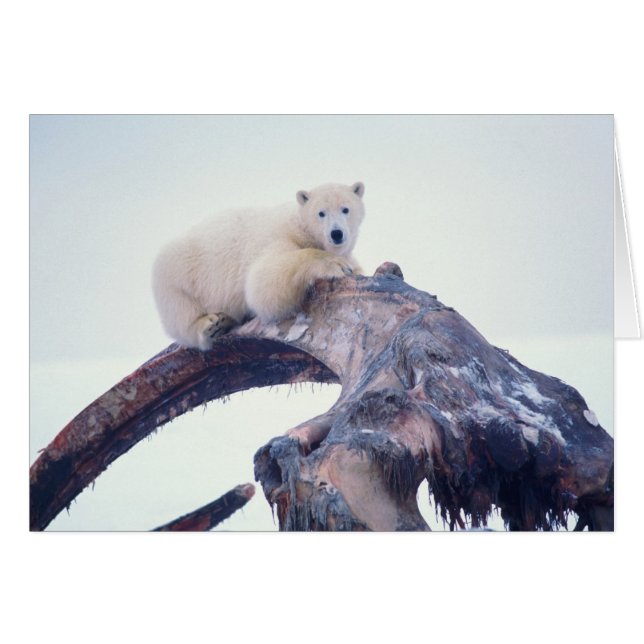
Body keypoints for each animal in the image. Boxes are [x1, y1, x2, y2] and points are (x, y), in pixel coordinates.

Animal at [152, 181, 366, 350]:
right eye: (321, 213)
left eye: (345, 209)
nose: (336, 233)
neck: (300, 227)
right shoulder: (275, 238)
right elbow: (262, 283)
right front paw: (335, 264)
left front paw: (351, 268)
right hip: (179, 275)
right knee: (181, 314)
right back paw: (212, 324)